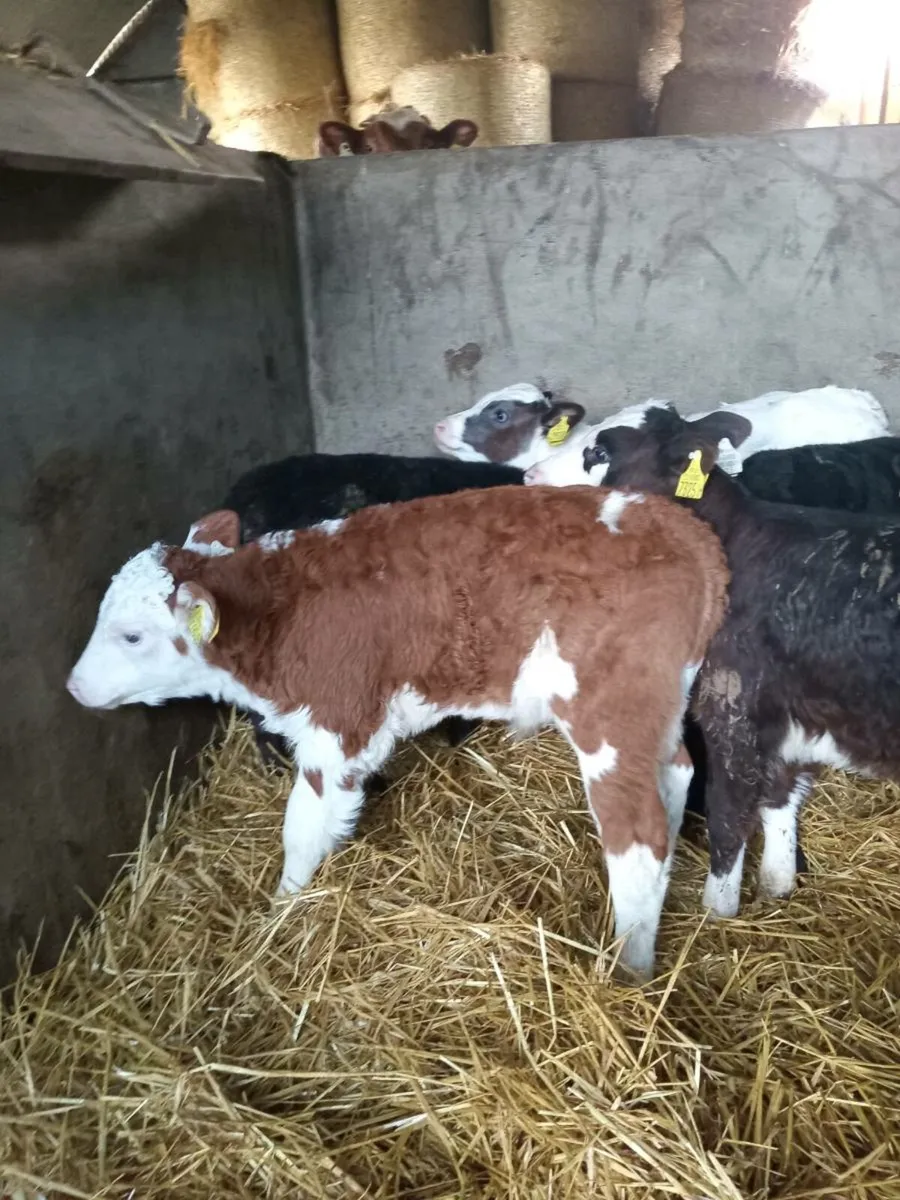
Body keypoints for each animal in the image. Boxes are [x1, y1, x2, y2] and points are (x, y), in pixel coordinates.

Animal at [66, 485, 729, 981]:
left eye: (132, 635)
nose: (74, 687)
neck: (281, 612)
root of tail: (682, 528)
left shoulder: (338, 725)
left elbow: (301, 832)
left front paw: (280, 913)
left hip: (608, 715)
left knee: (637, 839)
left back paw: (630, 968)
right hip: (657, 707)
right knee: (676, 774)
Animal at [573, 402, 900, 929]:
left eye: (598, 453)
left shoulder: (733, 705)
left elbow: (728, 817)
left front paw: (717, 913)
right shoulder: (793, 709)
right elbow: (779, 797)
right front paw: (778, 884)